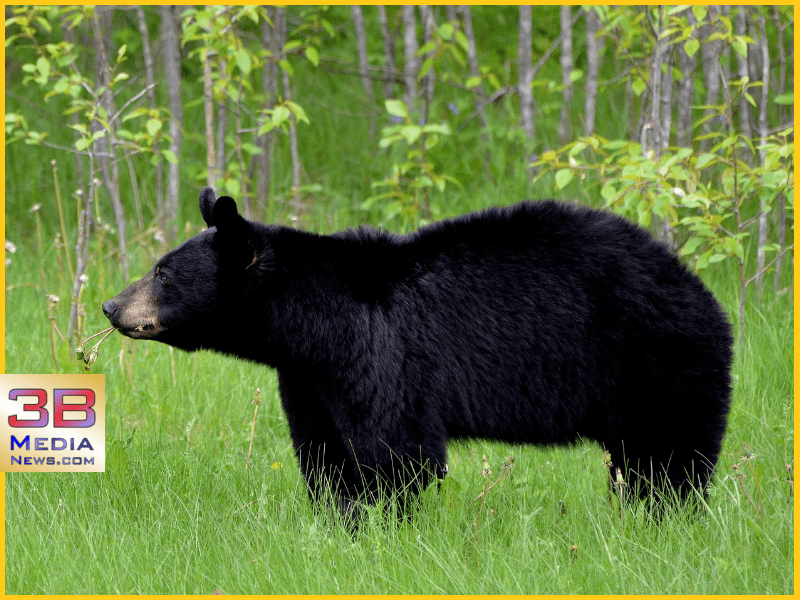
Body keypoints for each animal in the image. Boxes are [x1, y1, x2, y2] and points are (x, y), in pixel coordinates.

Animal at [103, 187, 733, 516]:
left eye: (161, 272)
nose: (111, 306)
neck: (311, 323)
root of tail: (704, 295)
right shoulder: (307, 375)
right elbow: (324, 451)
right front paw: (339, 521)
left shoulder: (381, 354)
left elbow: (396, 452)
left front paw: (382, 525)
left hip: (659, 362)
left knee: (668, 460)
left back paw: (663, 517)